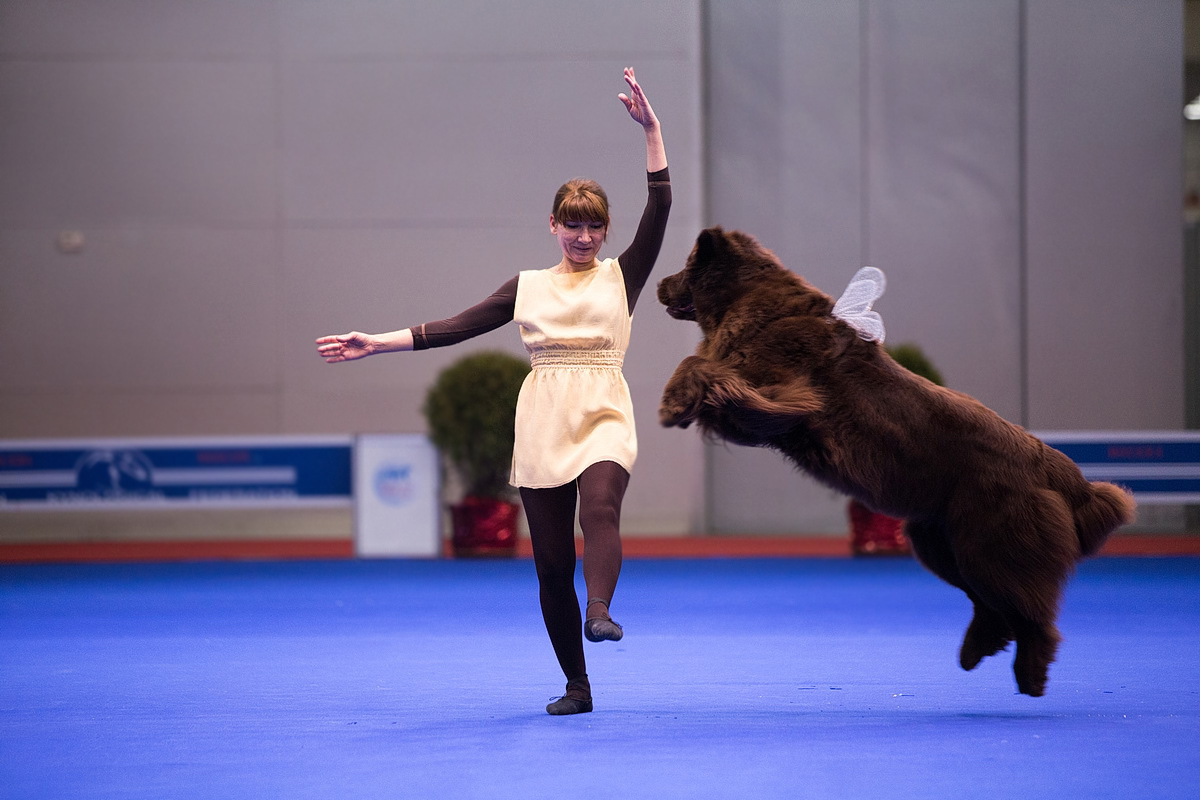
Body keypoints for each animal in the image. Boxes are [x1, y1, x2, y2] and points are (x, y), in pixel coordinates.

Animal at [657, 225, 1132, 695]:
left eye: (686, 264)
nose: (660, 283)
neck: (750, 305)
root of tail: (1062, 473)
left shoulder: (782, 396)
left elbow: (697, 364)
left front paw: (673, 404)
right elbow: (704, 369)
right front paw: (682, 405)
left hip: (991, 545)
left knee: (1030, 613)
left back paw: (1029, 675)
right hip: (940, 542)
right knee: (991, 605)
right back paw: (976, 649)